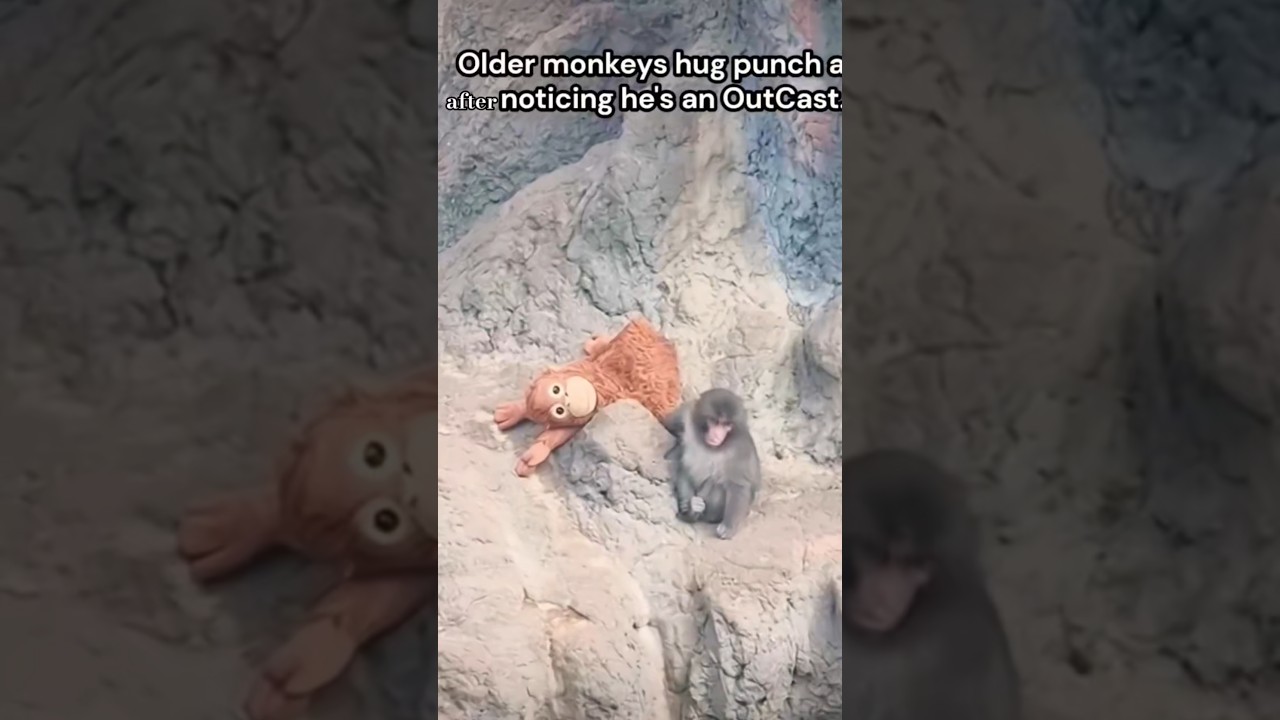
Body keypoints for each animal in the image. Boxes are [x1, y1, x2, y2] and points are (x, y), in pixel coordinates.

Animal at [661, 388, 761, 540]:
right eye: (714, 421)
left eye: (727, 425)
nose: (717, 434)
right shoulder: (687, 414)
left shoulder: (740, 449)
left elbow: (739, 485)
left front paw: (728, 526)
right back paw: (690, 511)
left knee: (716, 482)